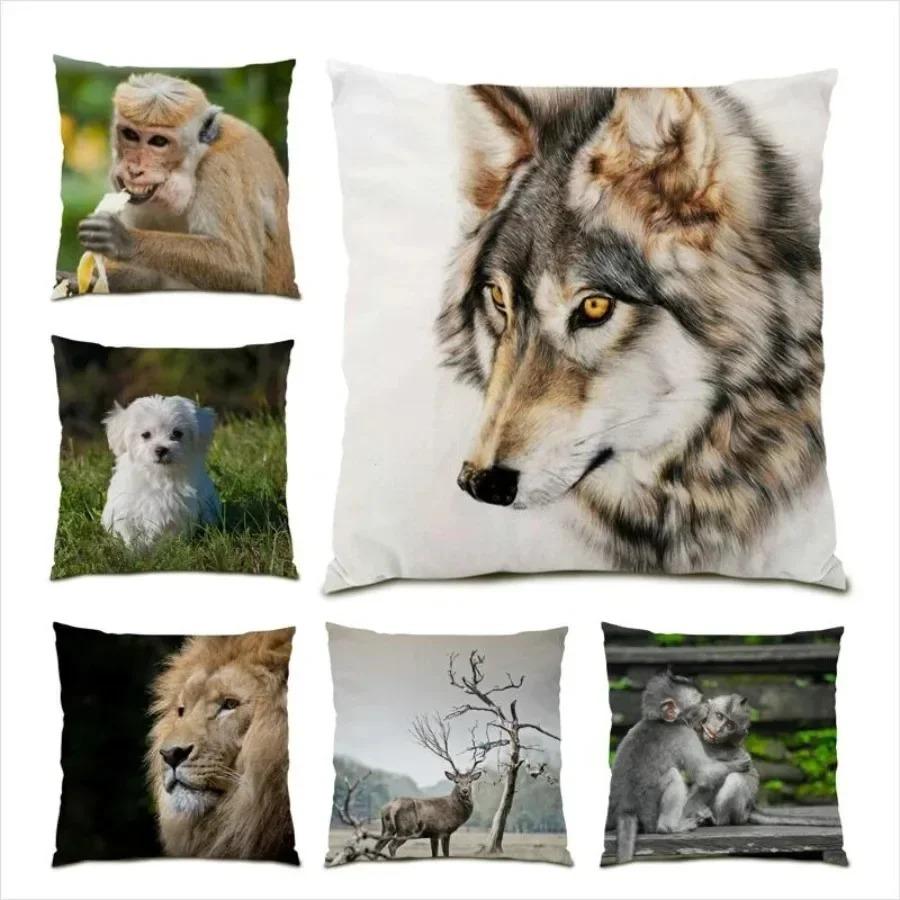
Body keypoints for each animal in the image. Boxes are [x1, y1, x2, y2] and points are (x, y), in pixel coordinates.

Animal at [64, 72, 298, 297]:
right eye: (130, 134)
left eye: (159, 141)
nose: (135, 170)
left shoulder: (222, 169)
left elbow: (241, 268)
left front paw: (123, 239)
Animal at [606, 672, 750, 864]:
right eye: (699, 703)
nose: (707, 706)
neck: (662, 721)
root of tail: (626, 810)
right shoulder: (685, 734)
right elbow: (705, 774)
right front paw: (738, 763)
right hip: (650, 812)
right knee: (673, 777)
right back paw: (670, 827)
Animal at [686, 694, 841, 827]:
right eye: (719, 716)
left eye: (730, 726)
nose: (718, 729)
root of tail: (751, 807)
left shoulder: (731, 752)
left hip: (740, 812)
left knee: (735, 779)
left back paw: (716, 820)